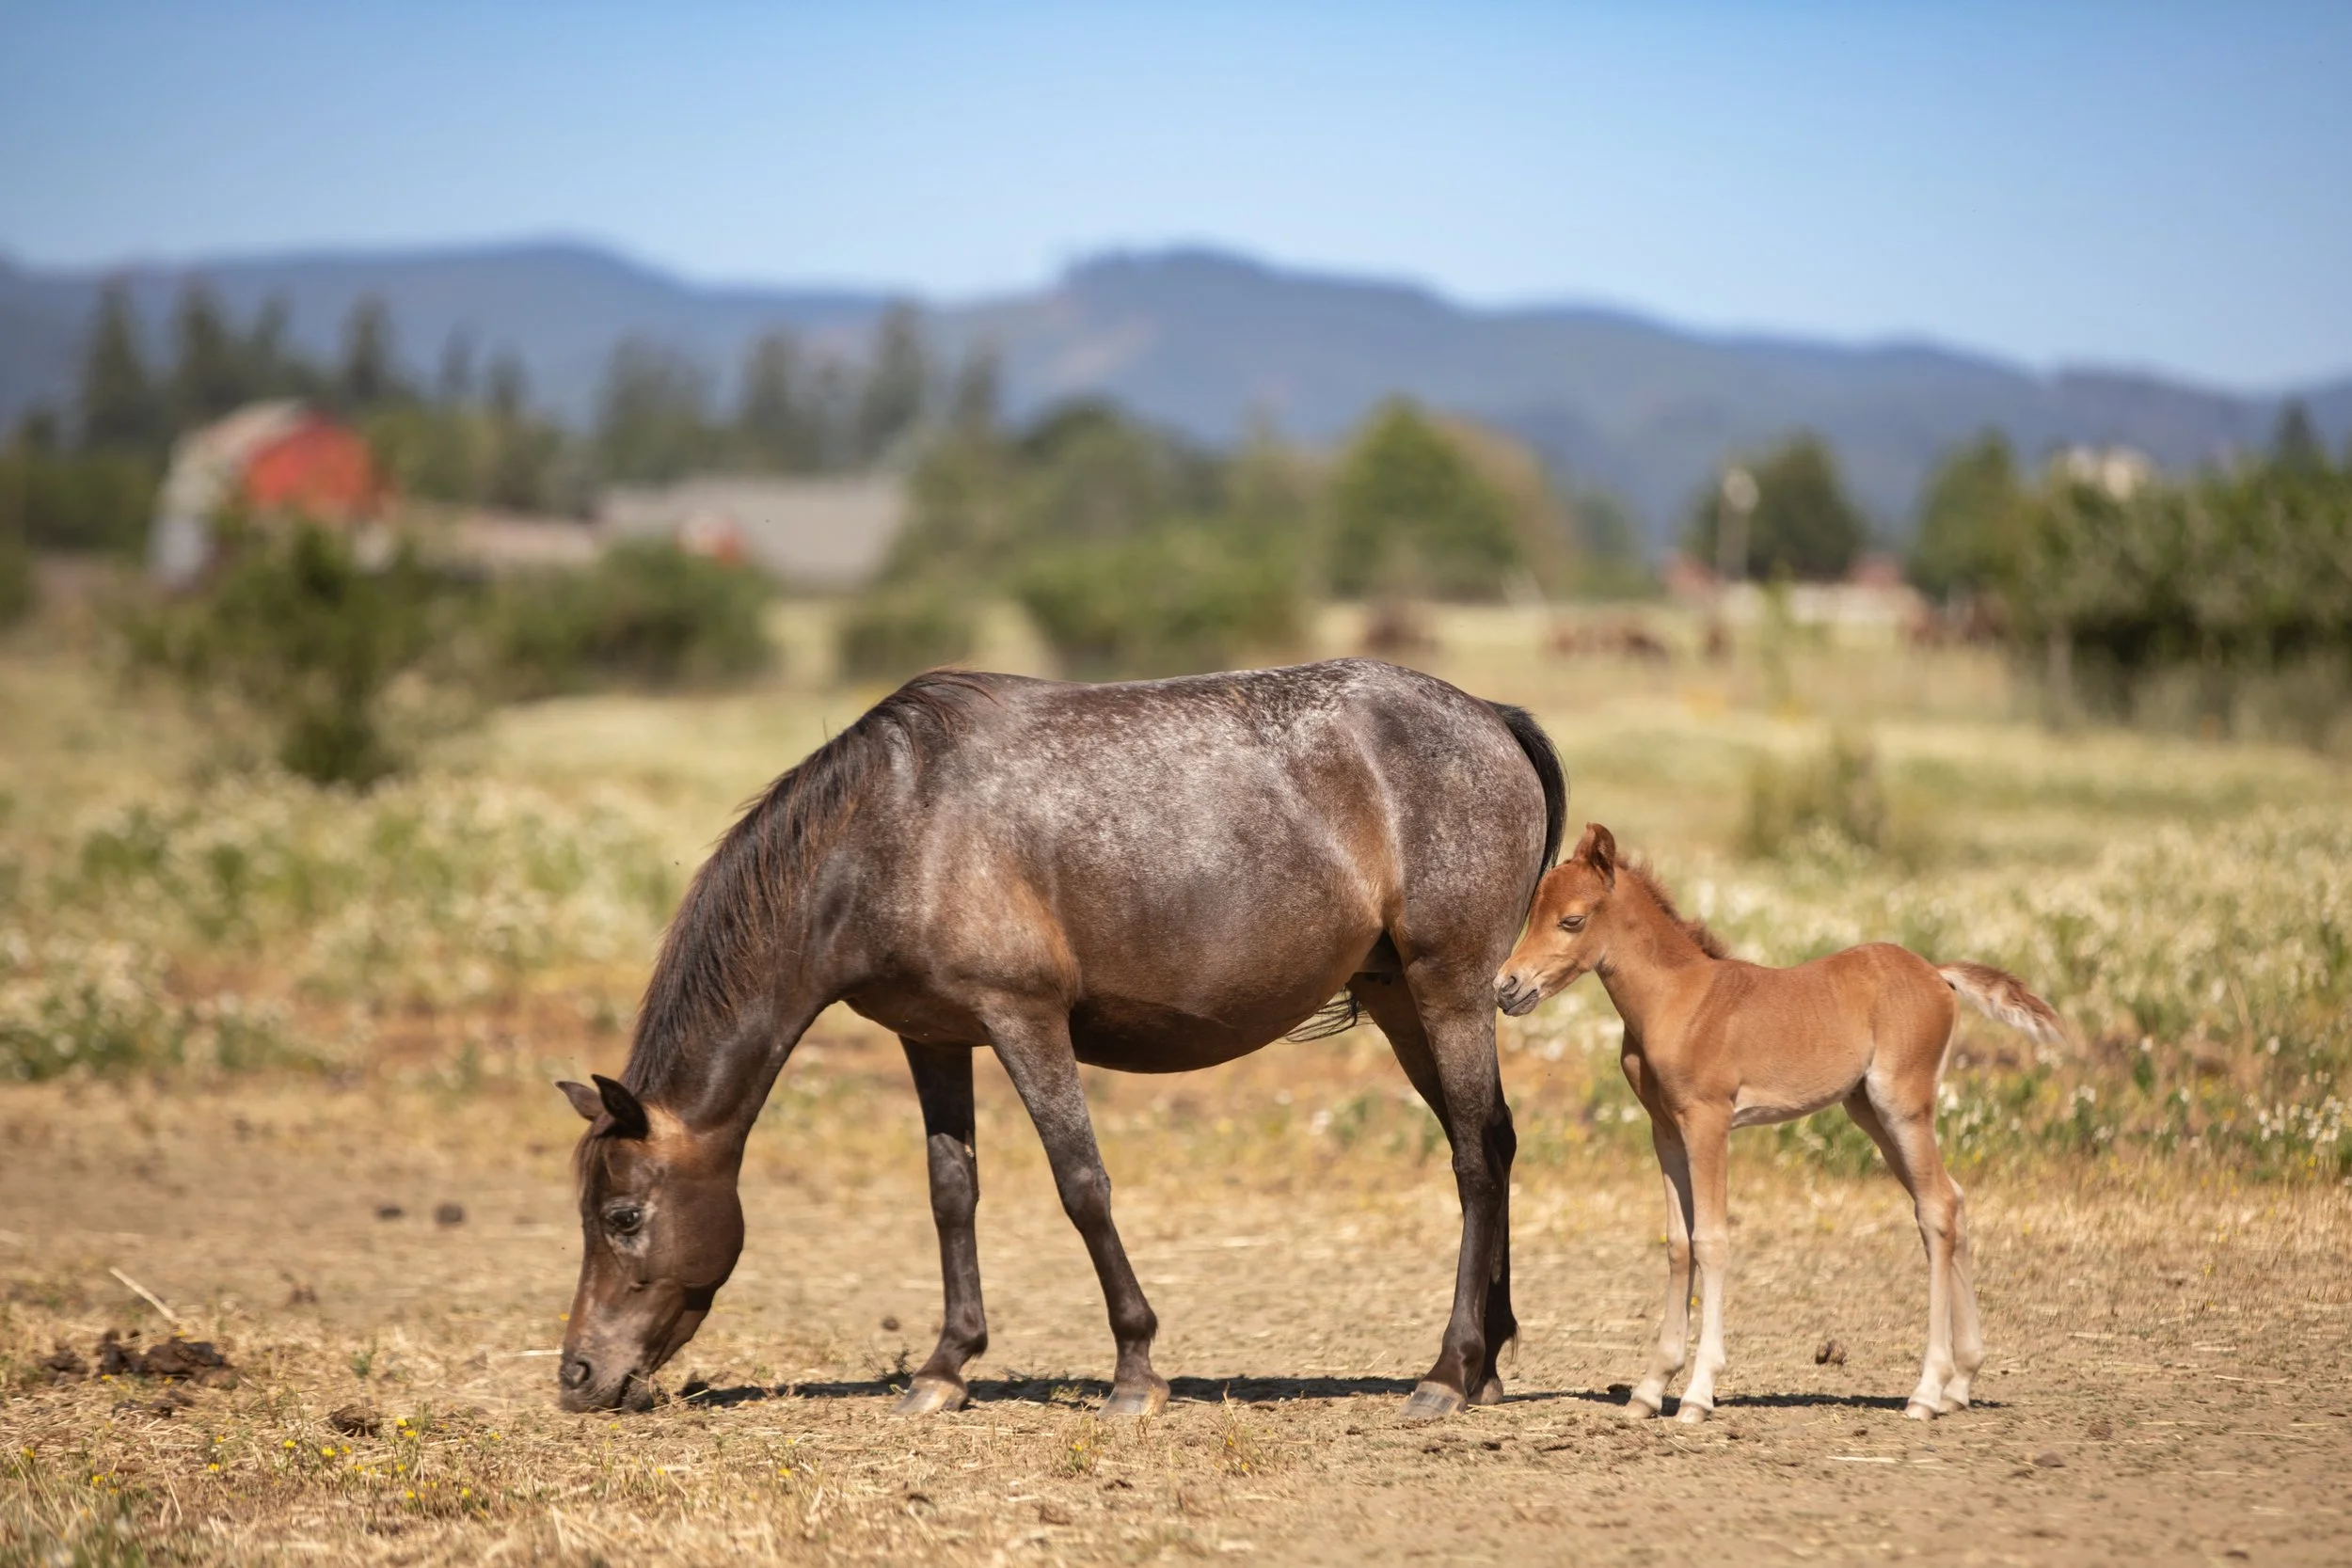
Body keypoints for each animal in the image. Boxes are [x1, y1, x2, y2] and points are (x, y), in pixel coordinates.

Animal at [555, 659, 1566, 1420]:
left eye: (623, 1216)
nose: (576, 1375)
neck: (894, 831)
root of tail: (1490, 716)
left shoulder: (1024, 1019)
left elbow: (1081, 1183)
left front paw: (1135, 1372)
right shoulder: (933, 1037)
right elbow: (951, 1193)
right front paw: (944, 1367)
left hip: (1448, 990)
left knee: (1475, 1159)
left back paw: (1447, 1371)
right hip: (1402, 999)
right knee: (1495, 1138)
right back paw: (1489, 1362)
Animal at [1493, 823, 2063, 1423]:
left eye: (1571, 920)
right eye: (1532, 913)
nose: (1505, 986)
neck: (1679, 1000)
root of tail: (1938, 974)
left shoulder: (1709, 1120)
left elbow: (1712, 1240)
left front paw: (1697, 1393)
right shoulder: (1665, 1130)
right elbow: (1678, 1243)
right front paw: (1649, 1389)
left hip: (1902, 1106)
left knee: (1935, 1209)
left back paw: (1928, 1392)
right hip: (1868, 1112)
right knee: (1952, 1199)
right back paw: (1961, 1381)